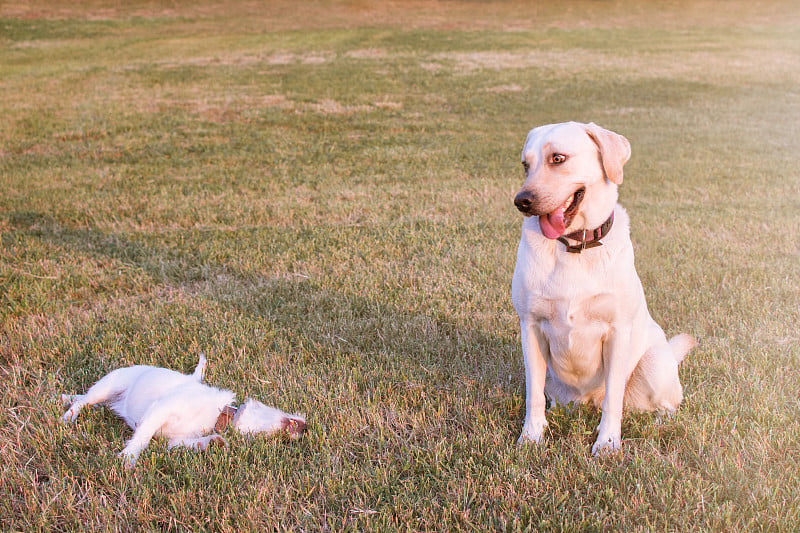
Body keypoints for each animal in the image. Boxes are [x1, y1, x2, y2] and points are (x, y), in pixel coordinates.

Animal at [61, 356, 306, 468]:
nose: (306, 428)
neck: (217, 415)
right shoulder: (161, 409)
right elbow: (142, 437)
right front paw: (128, 458)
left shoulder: (175, 440)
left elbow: (189, 443)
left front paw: (213, 443)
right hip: (109, 384)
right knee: (84, 400)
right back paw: (67, 417)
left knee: (82, 399)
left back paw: (63, 399)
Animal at [512, 122, 692, 456]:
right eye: (525, 165)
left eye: (558, 158)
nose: (522, 201)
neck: (574, 247)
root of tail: (585, 402)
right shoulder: (530, 327)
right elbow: (533, 396)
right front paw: (531, 436)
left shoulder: (617, 331)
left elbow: (613, 399)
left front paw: (607, 443)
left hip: (654, 365)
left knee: (666, 403)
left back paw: (661, 420)